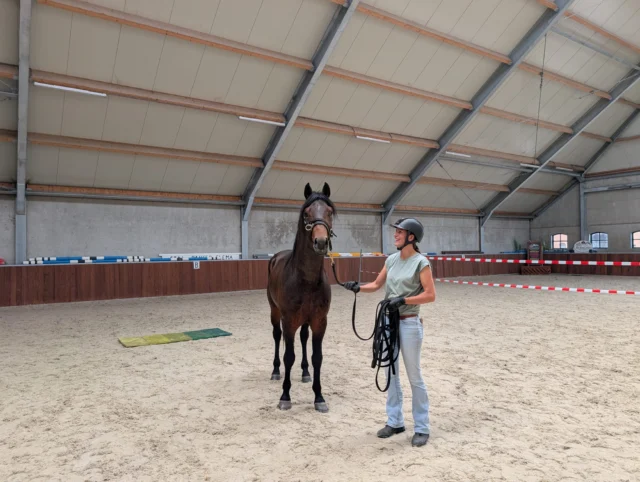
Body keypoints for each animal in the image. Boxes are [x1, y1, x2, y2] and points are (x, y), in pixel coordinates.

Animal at [266, 182, 336, 413]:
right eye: (306, 213)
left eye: (329, 211)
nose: (321, 242)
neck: (306, 280)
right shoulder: (288, 321)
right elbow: (289, 356)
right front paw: (285, 396)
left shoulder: (319, 321)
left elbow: (317, 357)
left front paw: (319, 397)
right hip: (274, 312)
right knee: (276, 336)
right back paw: (275, 371)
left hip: (305, 321)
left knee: (304, 338)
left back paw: (305, 373)